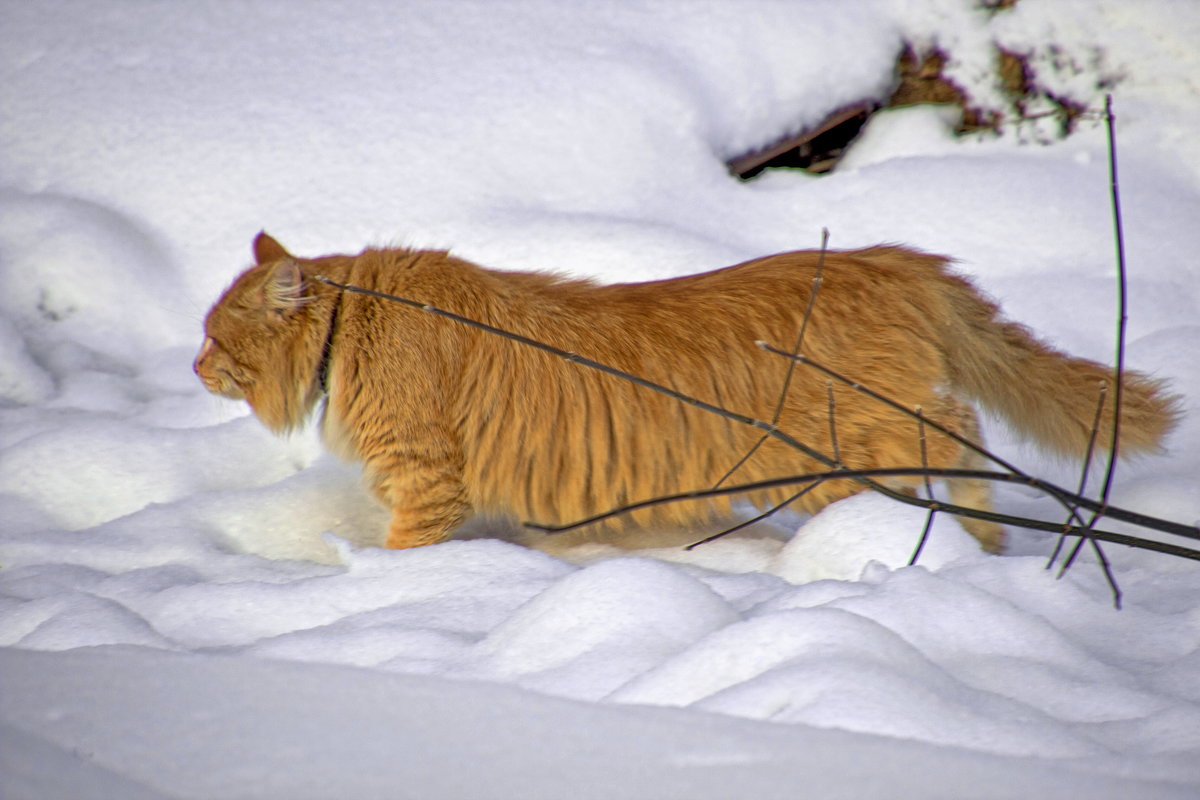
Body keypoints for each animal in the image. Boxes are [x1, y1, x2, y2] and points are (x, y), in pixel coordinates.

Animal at [196, 235, 1180, 554]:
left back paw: (979, 541)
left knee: (965, 434)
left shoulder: (426, 475)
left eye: (213, 337)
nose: (192, 368)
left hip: (858, 440)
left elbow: (406, 553)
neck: (360, 317)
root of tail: (889, 256)